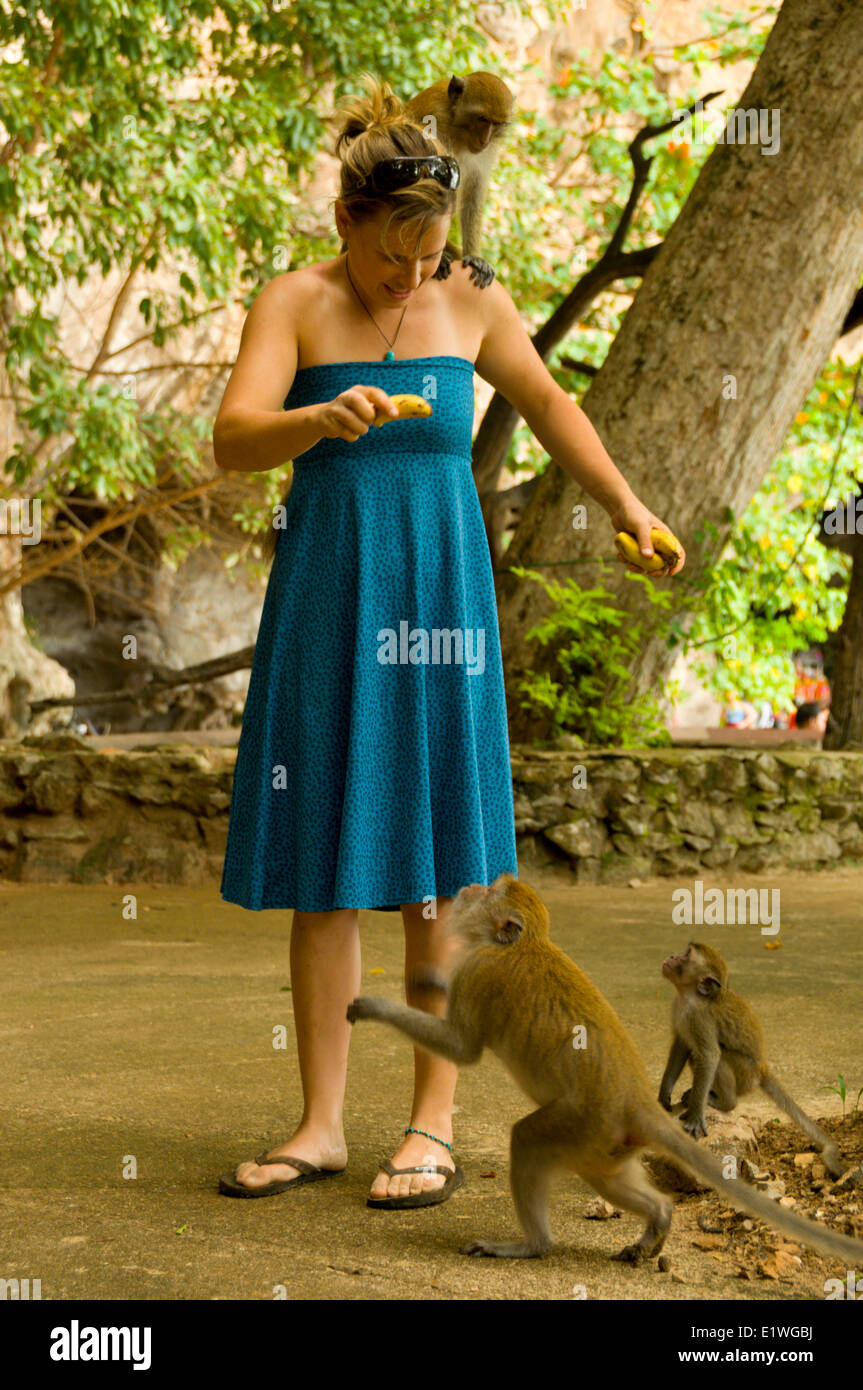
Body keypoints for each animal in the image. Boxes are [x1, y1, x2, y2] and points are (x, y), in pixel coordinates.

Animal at [405, 72, 511, 287]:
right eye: (482, 118)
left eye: (496, 124)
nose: (485, 140)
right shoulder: (434, 118)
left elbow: (474, 191)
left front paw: (475, 256)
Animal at [658, 939, 839, 1178]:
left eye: (686, 955)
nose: (672, 956)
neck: (690, 996)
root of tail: (762, 1068)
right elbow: (681, 1046)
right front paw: (664, 1096)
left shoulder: (699, 1018)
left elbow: (709, 1056)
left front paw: (695, 1117)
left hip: (745, 1074)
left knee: (717, 1057)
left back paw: (725, 1102)